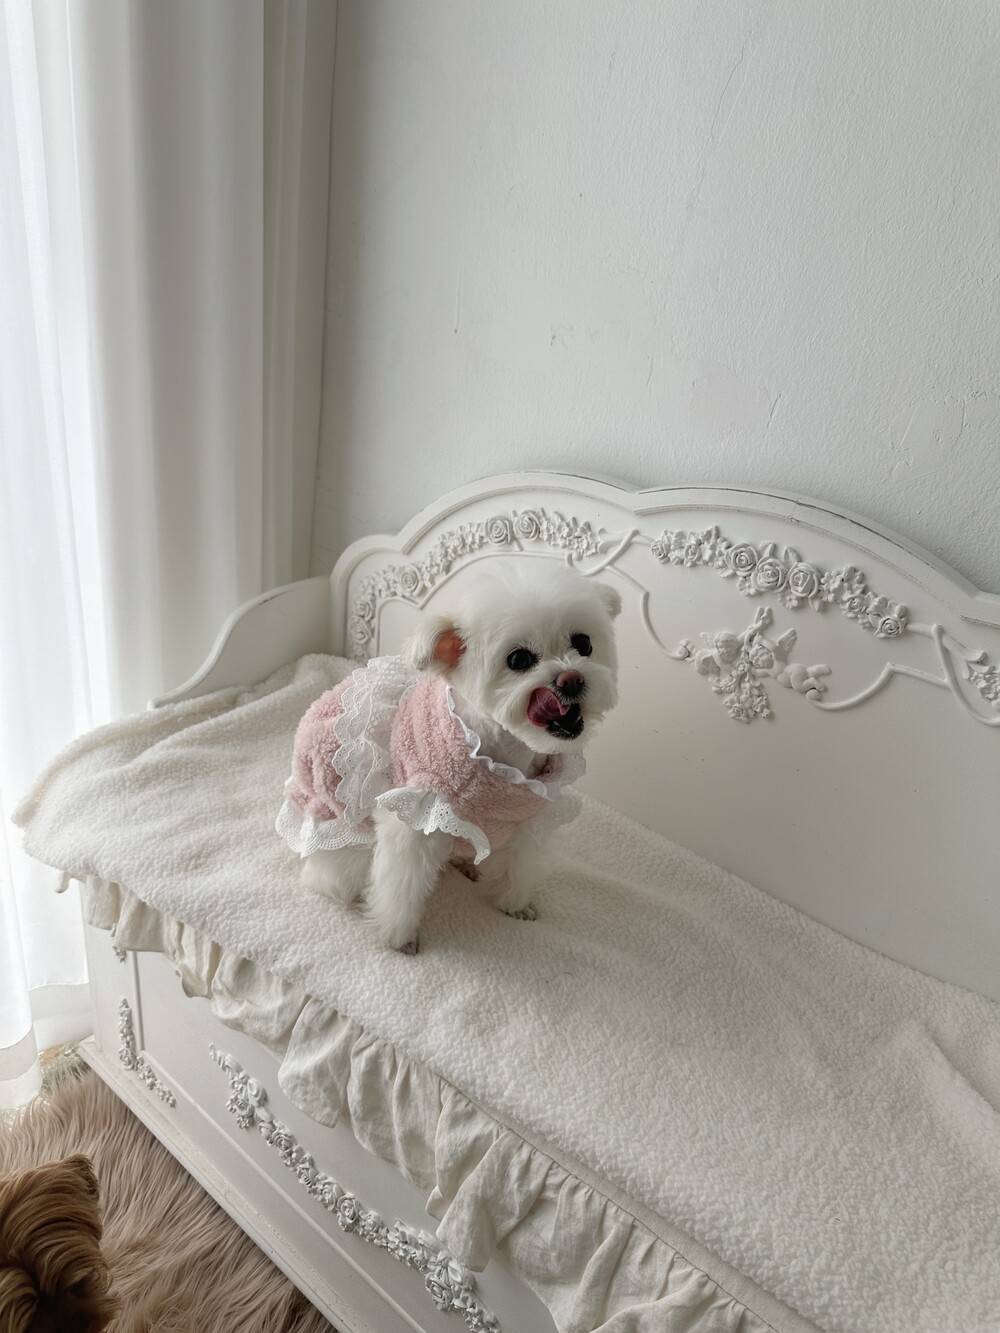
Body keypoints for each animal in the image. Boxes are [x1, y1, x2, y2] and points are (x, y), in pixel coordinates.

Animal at [278, 562, 621, 953]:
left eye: (584, 643)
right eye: (518, 659)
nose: (571, 679)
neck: (501, 758)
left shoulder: (526, 817)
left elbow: (517, 866)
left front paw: (513, 904)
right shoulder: (416, 813)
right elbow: (401, 884)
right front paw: (398, 937)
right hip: (342, 838)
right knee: (334, 877)